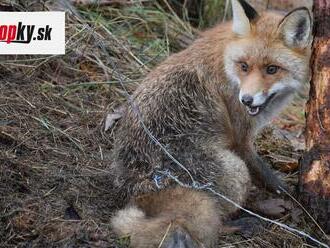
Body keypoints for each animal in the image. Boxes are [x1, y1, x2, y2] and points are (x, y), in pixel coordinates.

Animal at [110, 0, 312, 247]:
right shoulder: (241, 138)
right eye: (244, 66)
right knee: (215, 221)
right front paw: (294, 198)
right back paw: (248, 220)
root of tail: (143, 188)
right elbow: (267, 175)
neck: (227, 64)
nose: (246, 100)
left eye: (272, 69)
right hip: (236, 170)